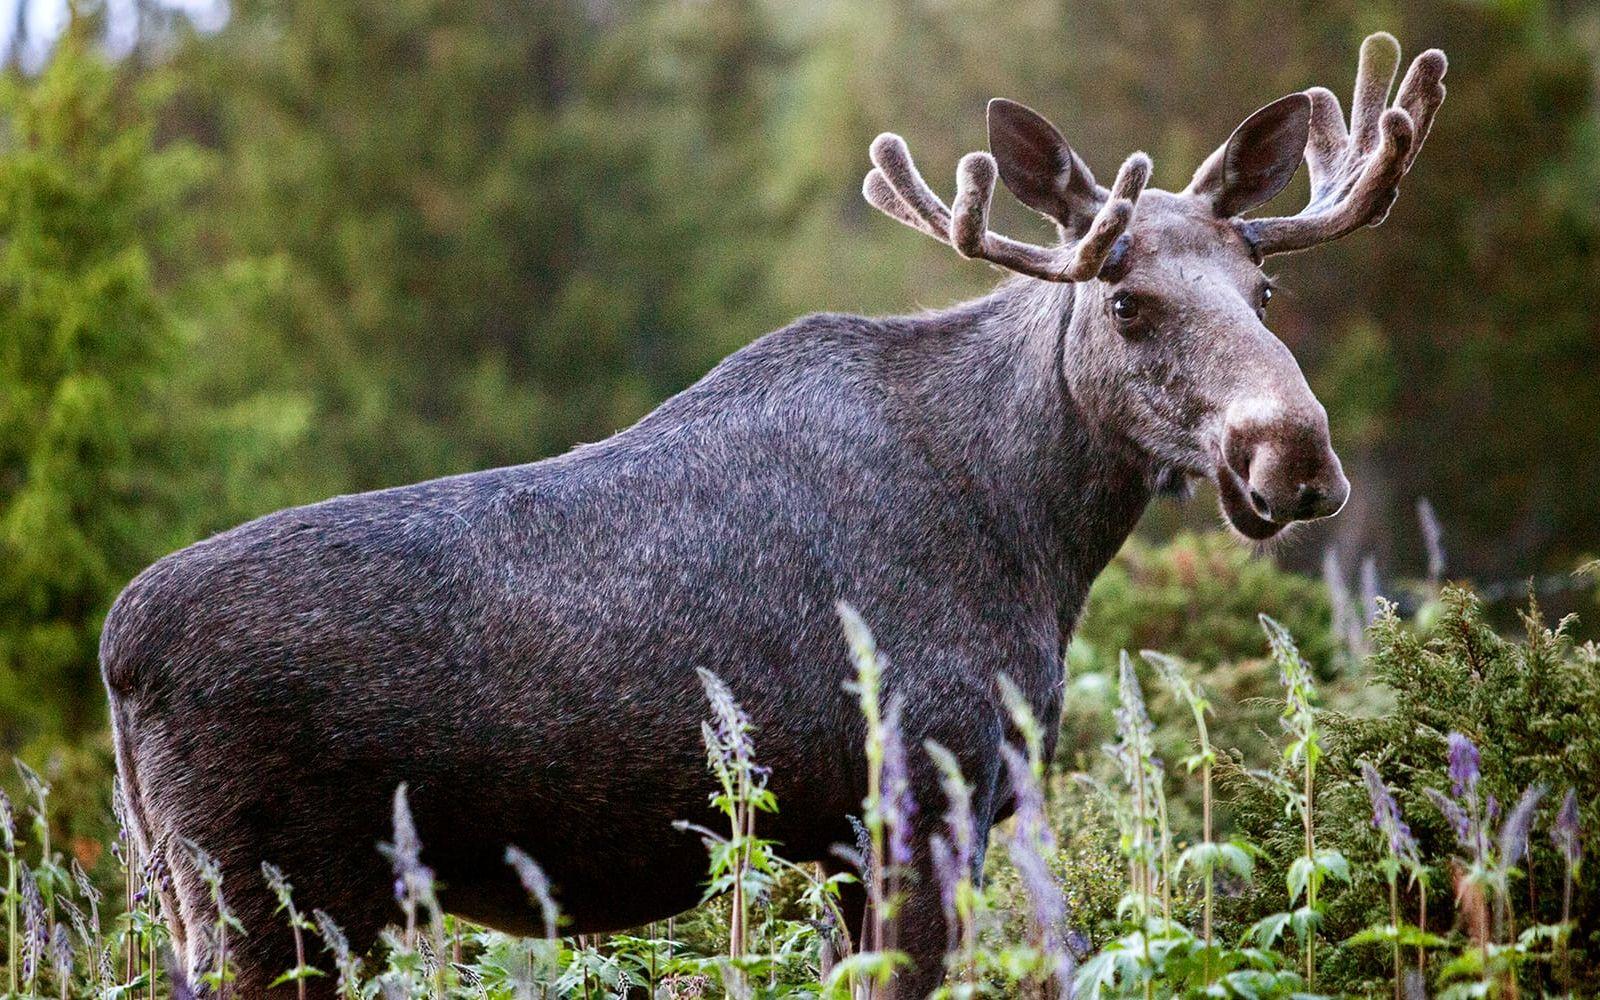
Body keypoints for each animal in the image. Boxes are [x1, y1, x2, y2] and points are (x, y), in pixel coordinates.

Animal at [100, 35, 1452, 992]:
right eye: (1127, 305)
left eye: (1264, 288)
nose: (1294, 456)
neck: (1036, 538)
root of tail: (120, 655)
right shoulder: (915, 796)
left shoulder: (855, 838)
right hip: (271, 905)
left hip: (204, 903)